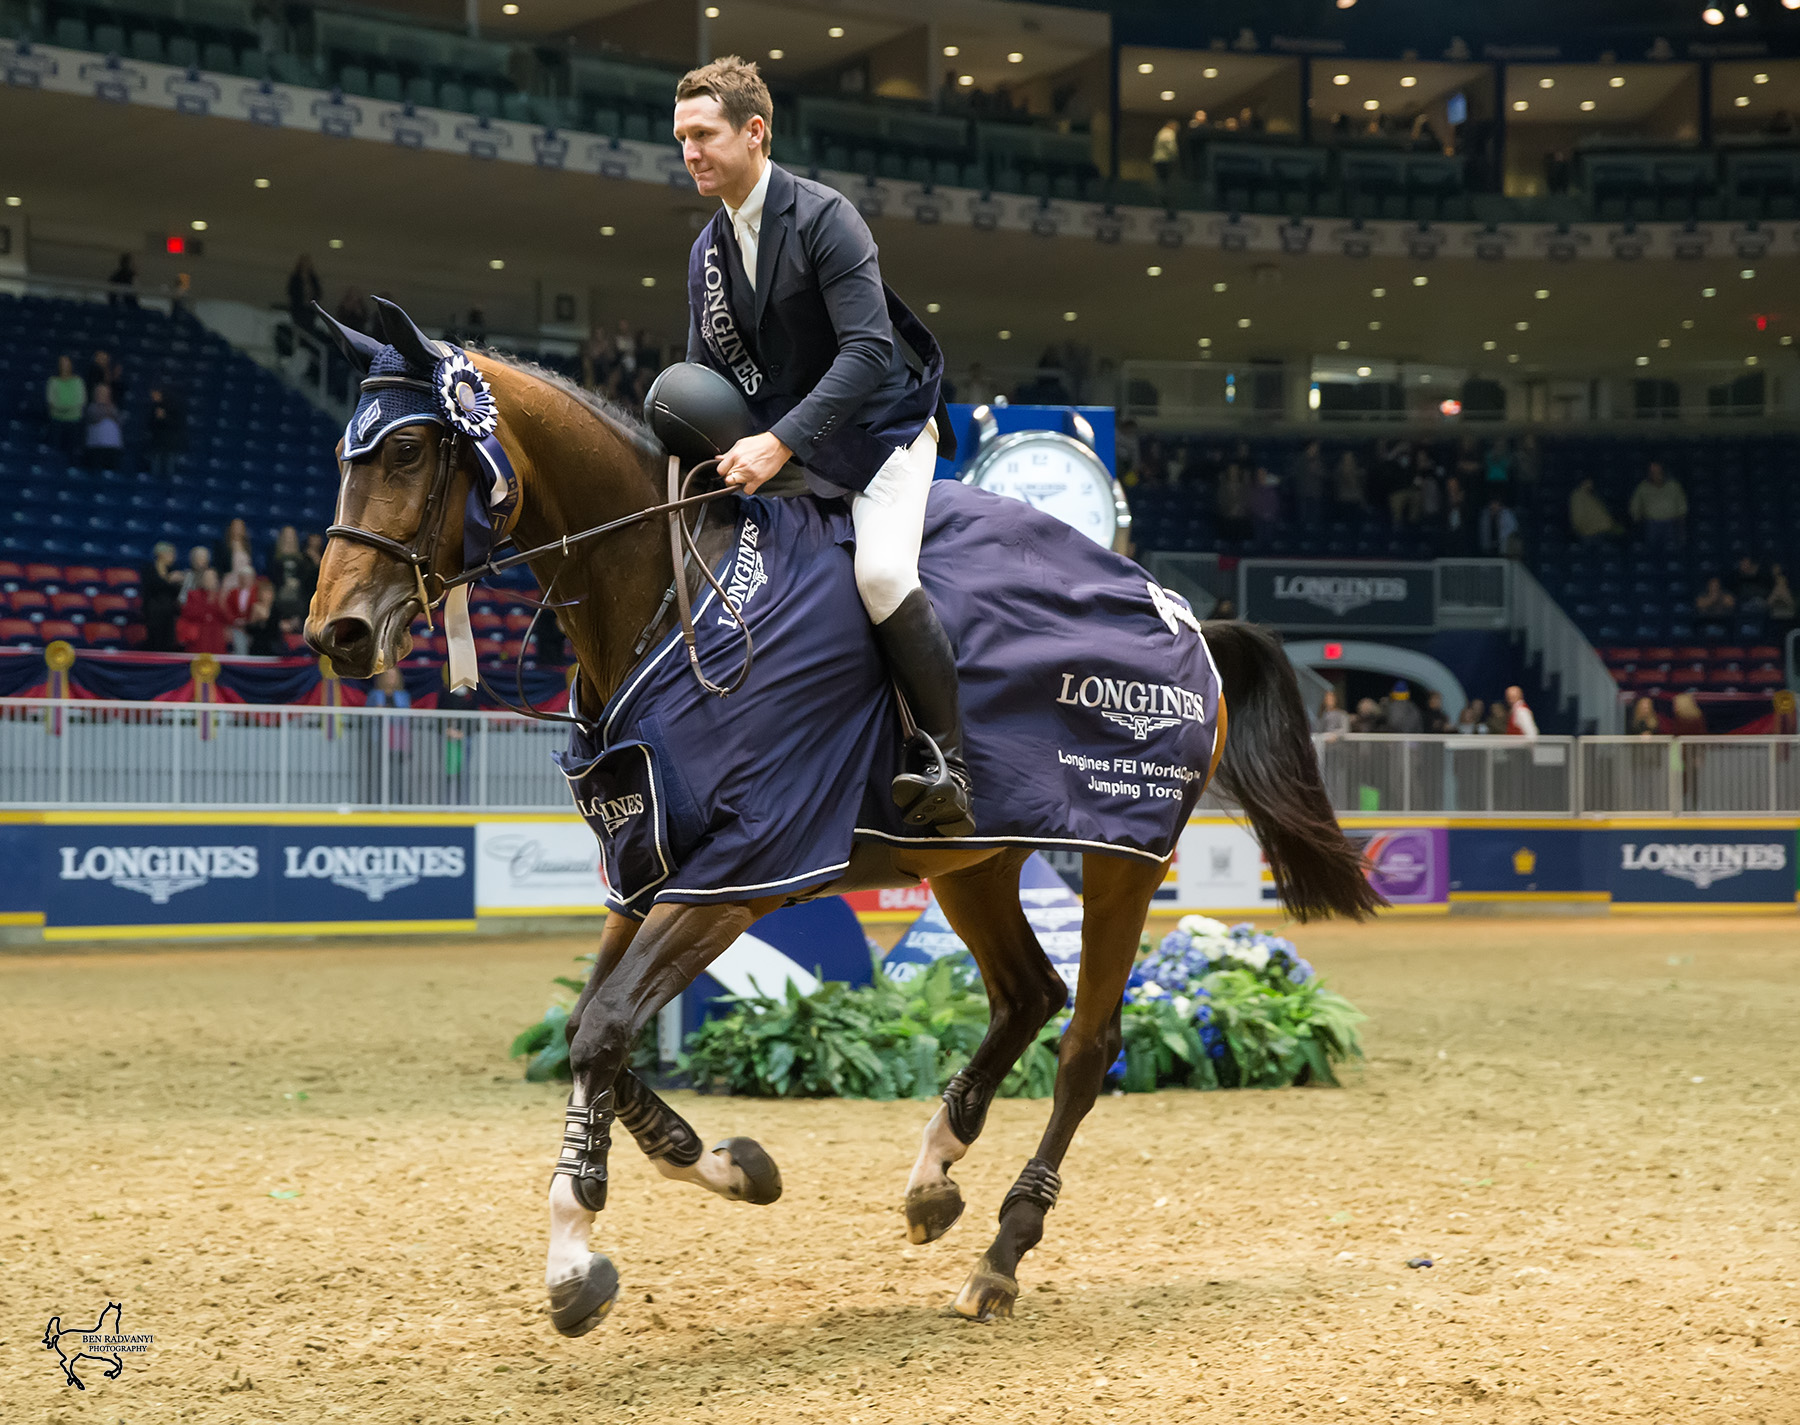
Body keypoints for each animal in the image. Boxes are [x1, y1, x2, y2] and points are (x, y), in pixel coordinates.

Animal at [306, 300, 1375, 1338]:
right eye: (345, 458)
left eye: (408, 453)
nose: (335, 633)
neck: (672, 592)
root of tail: (1185, 612)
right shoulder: (645, 867)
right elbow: (589, 1027)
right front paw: (724, 1162)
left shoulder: (738, 872)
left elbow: (604, 1029)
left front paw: (574, 1255)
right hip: (972, 861)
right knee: (1026, 994)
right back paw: (934, 1176)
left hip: (1123, 857)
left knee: (1085, 1044)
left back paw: (1002, 1254)